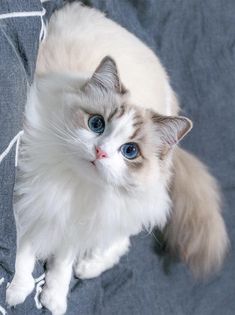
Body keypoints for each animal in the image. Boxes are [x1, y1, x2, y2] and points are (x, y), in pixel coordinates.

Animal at [5, 2, 229, 315]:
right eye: (96, 124)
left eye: (130, 151)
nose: (100, 152)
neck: (75, 186)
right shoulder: (27, 203)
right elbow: (23, 252)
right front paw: (17, 291)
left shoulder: (77, 221)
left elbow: (63, 261)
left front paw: (55, 299)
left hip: (132, 202)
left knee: (124, 237)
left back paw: (88, 266)